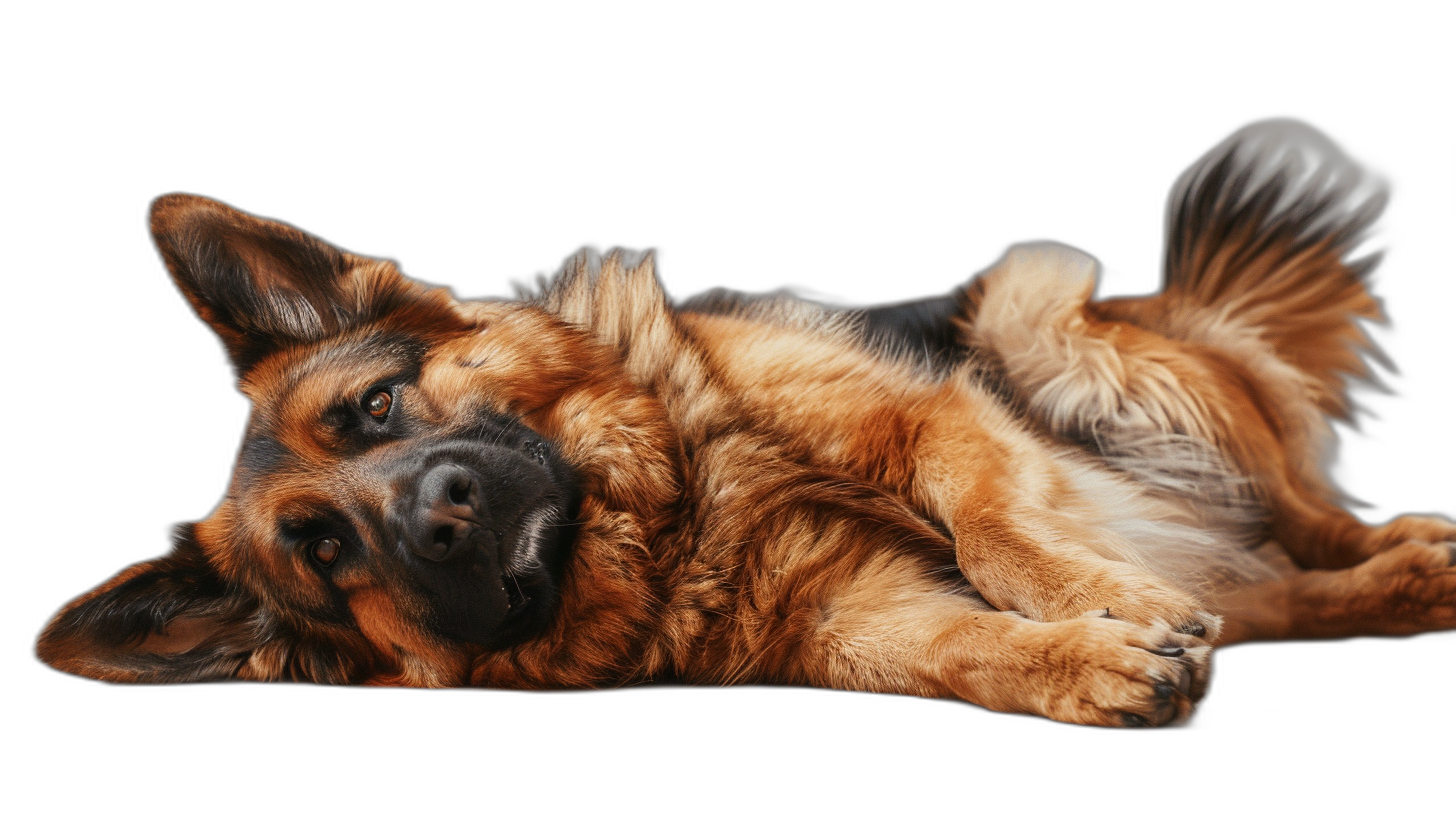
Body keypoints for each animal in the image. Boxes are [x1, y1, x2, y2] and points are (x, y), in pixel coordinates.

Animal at [31, 119, 1444, 725]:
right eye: (324, 552)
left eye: (374, 406)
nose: (439, 517)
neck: (669, 514)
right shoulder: (851, 620)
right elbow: (965, 647)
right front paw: (1090, 662)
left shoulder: (926, 417)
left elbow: (995, 525)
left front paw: (1107, 600)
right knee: (1271, 593)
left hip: (1047, 321)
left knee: (1299, 522)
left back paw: (1399, 555)